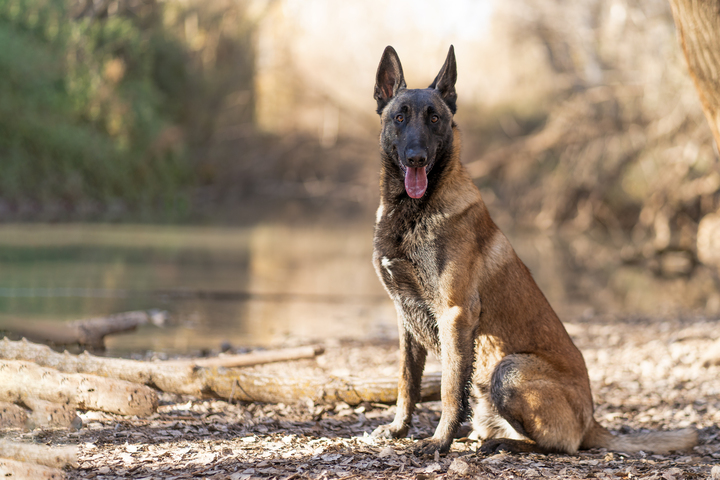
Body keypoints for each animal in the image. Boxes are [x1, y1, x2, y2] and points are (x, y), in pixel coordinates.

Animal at [372, 47, 696, 456]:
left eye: (434, 118)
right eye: (399, 117)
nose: (416, 157)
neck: (412, 212)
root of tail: (591, 421)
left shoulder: (455, 315)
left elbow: (448, 389)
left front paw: (439, 441)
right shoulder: (405, 317)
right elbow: (406, 381)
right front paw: (399, 428)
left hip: (509, 369)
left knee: (558, 445)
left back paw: (501, 445)